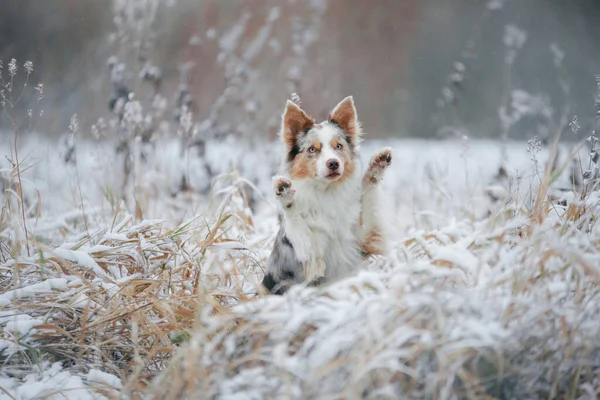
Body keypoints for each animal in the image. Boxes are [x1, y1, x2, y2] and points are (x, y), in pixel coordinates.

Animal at [260, 97, 392, 294]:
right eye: (312, 149)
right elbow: (297, 222)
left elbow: (369, 191)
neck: (326, 192)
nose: (333, 163)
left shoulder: (362, 239)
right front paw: (285, 195)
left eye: (338, 146)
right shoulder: (310, 258)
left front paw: (377, 166)